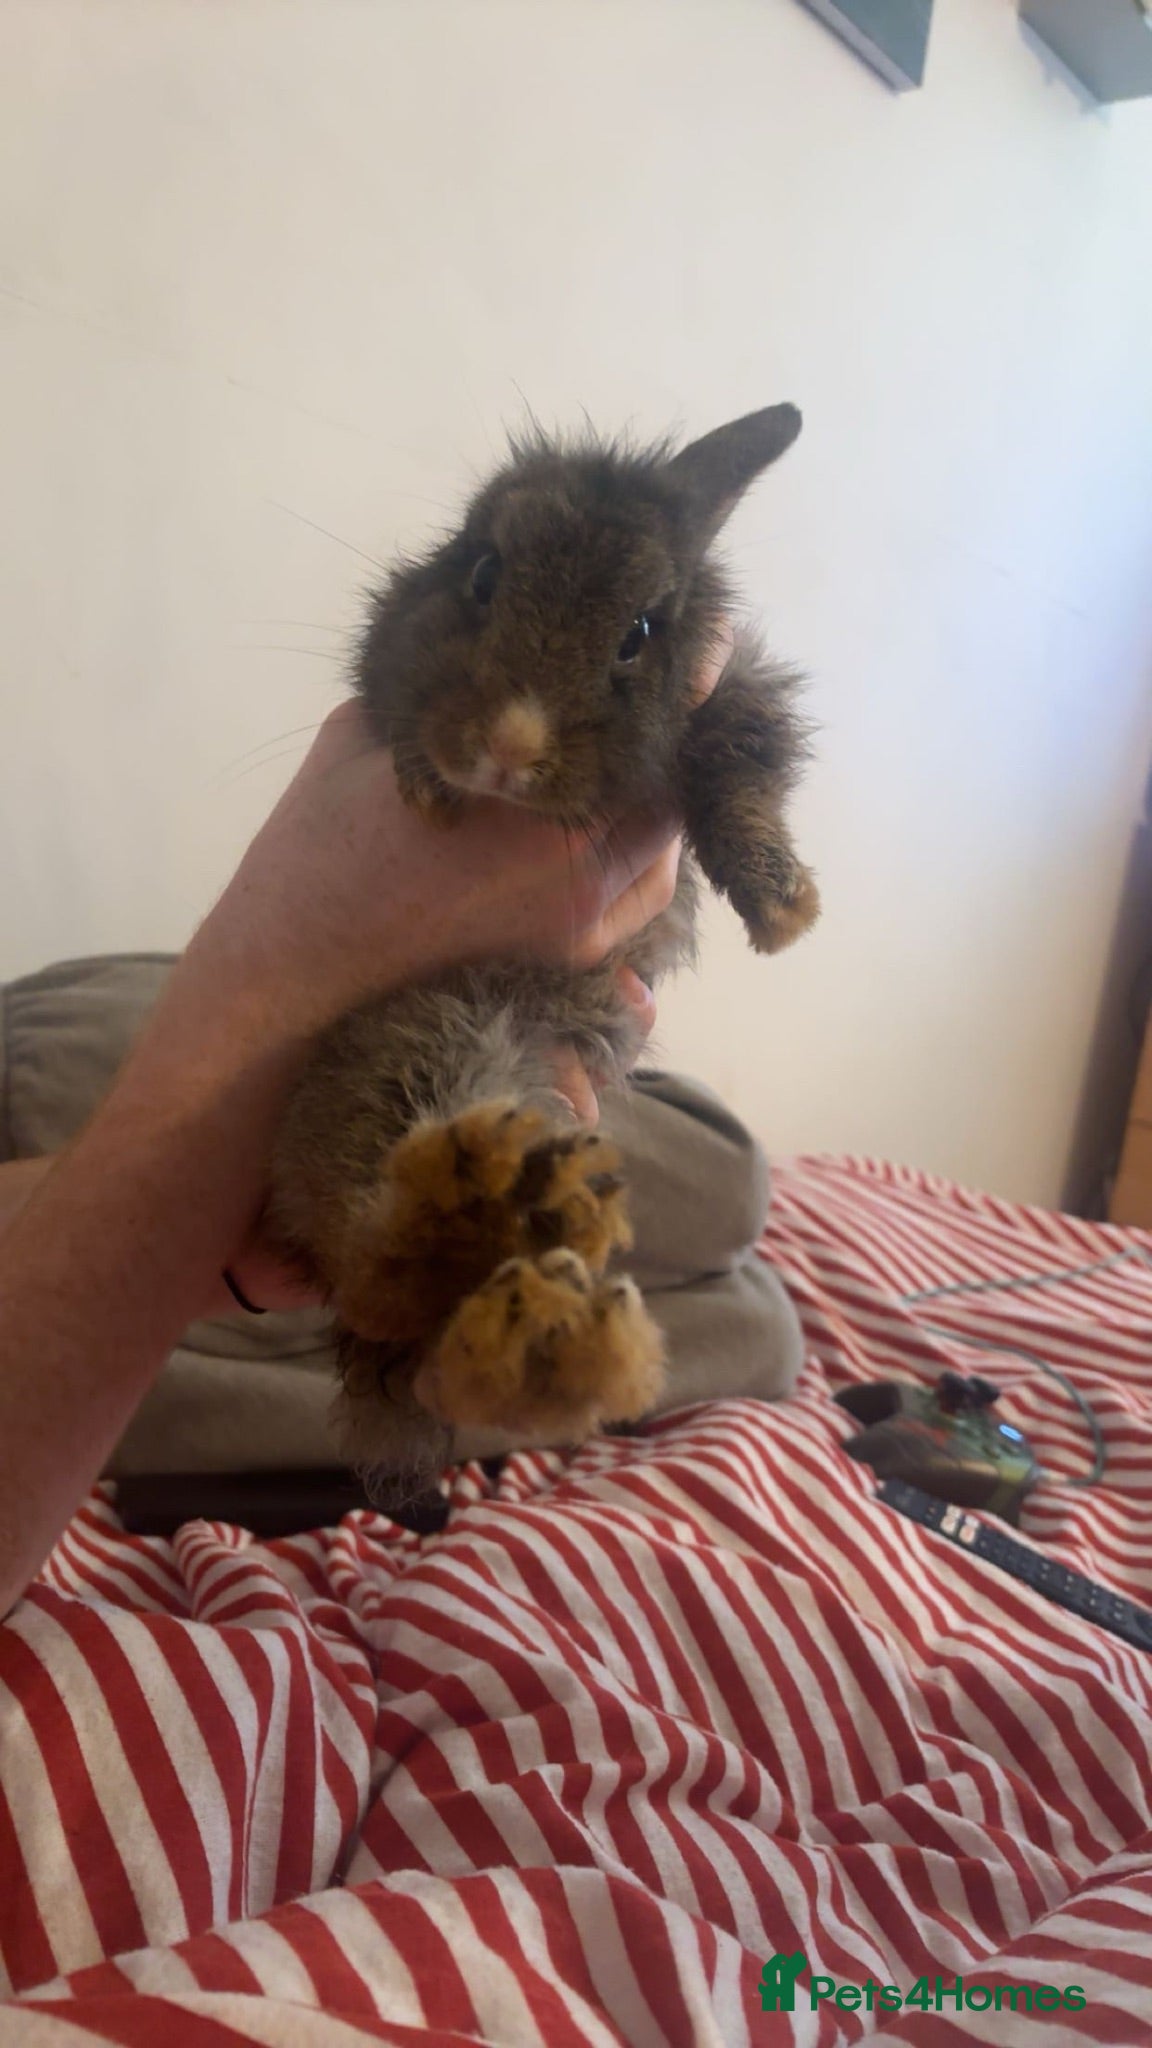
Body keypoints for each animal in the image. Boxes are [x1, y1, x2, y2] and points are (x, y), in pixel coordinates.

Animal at [267, 404, 819, 1498]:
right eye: (482, 574)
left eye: (640, 633)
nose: (508, 749)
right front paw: (427, 787)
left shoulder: (732, 694)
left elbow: (741, 760)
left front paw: (784, 910)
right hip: (418, 1043)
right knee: (378, 1255)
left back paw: (559, 1325)